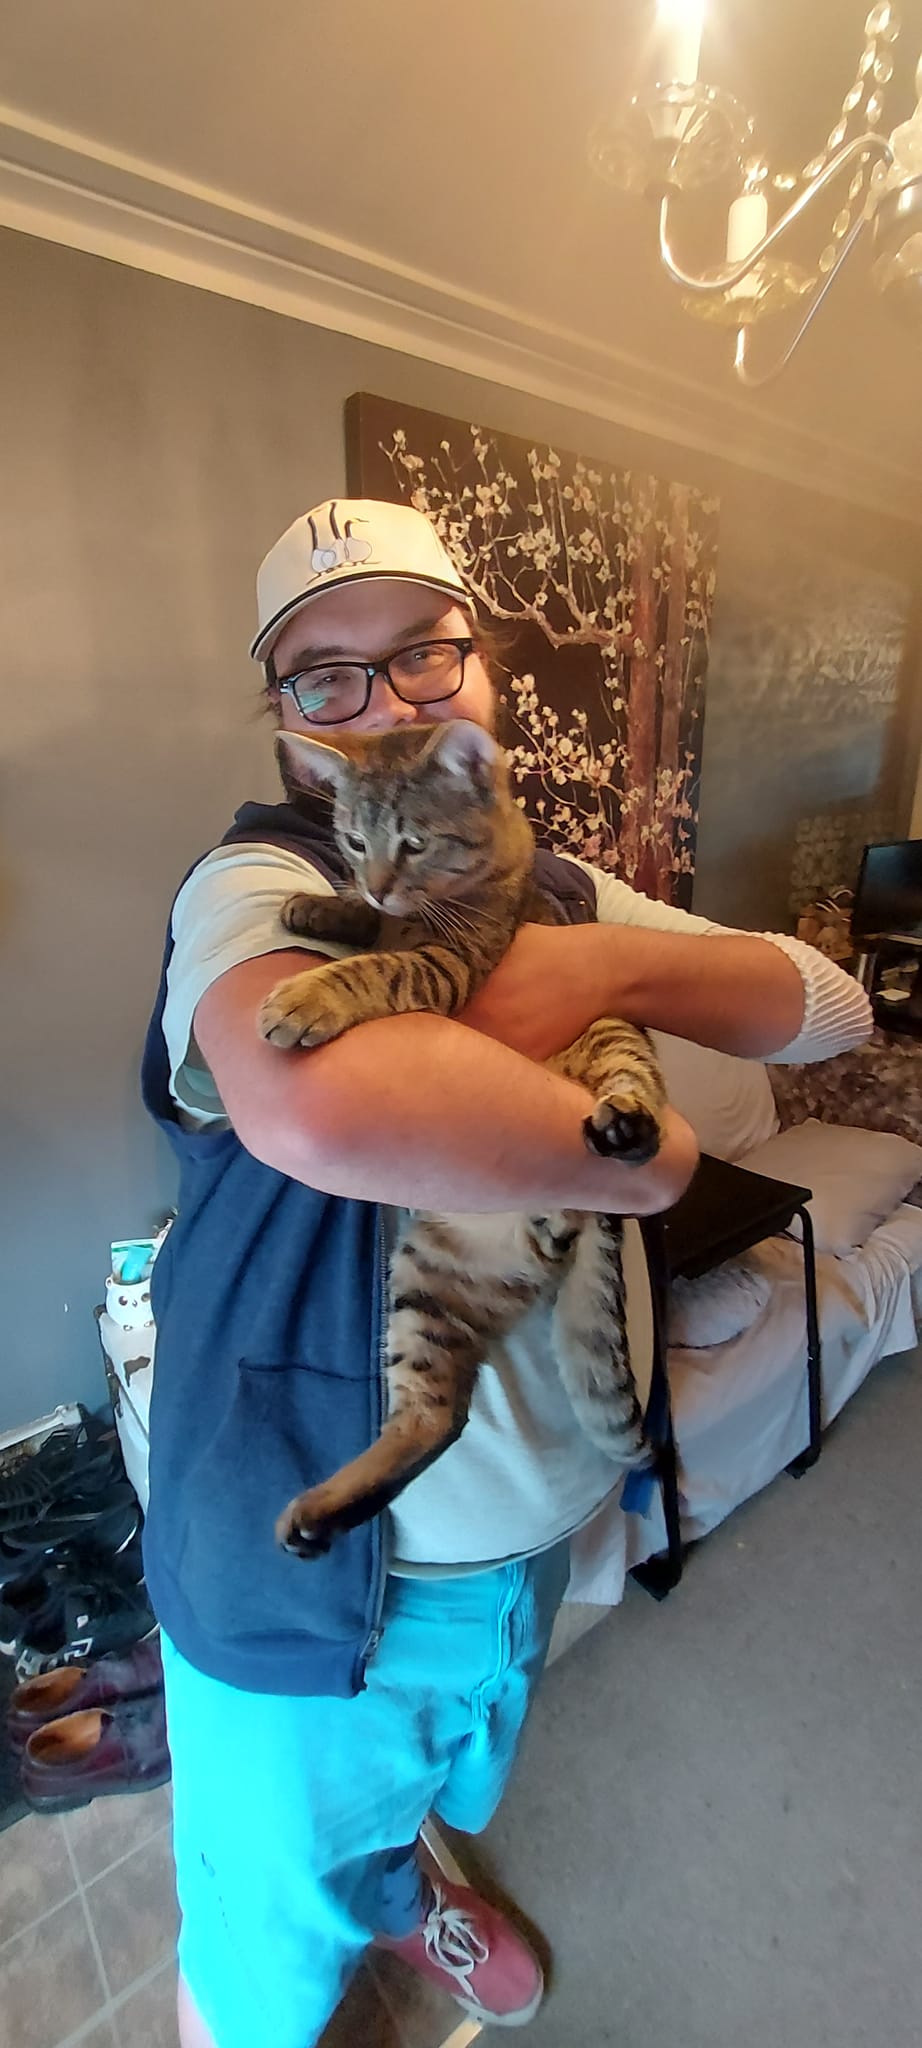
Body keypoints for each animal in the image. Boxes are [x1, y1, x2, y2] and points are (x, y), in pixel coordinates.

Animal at [256, 720, 667, 1548]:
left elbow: (376, 969)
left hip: (613, 1034)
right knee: (437, 1414)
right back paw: (321, 1514)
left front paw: (311, 992)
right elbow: (364, 925)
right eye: (353, 840)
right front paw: (321, 905)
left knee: (635, 1098)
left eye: (415, 843)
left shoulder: (445, 964)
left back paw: (619, 1131)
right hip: (424, 1286)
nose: (378, 881)